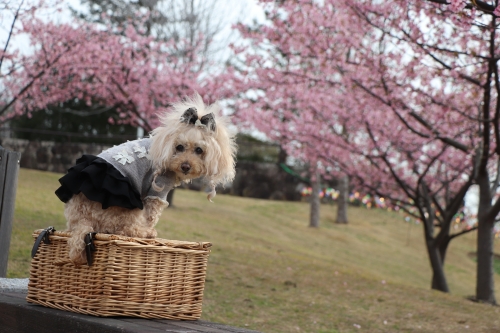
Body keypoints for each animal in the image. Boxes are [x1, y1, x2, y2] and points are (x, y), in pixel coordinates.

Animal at [56, 94, 236, 264]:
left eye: (199, 150)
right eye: (179, 147)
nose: (185, 166)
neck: (165, 148)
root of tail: (81, 221)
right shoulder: (158, 190)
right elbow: (152, 216)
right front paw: (150, 233)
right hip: (127, 211)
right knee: (123, 229)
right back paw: (147, 233)